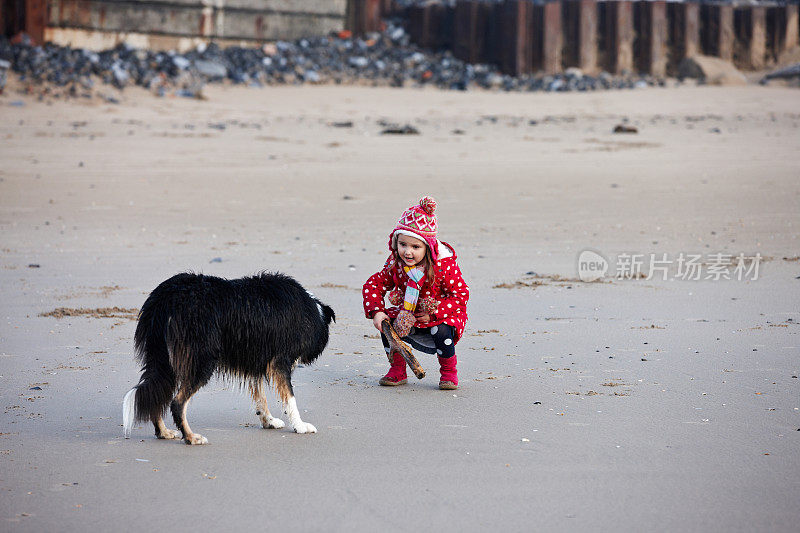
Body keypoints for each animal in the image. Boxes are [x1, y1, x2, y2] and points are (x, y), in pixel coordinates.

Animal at [122, 272, 334, 442]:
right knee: (177, 402)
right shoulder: (279, 361)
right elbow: (290, 398)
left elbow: (261, 397)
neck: (311, 311)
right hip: (201, 359)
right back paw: (191, 438)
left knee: (155, 392)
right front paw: (301, 426)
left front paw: (269, 421)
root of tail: (164, 298)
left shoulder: (255, 358)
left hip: (164, 359)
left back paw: (164, 433)